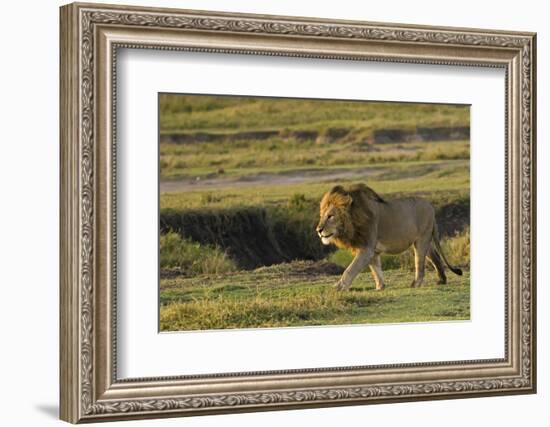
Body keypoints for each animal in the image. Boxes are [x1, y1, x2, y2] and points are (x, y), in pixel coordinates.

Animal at [316, 184, 464, 290]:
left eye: (330, 216)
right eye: (322, 216)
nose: (318, 230)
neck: (352, 221)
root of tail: (431, 207)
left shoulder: (366, 248)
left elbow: (350, 269)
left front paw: (337, 288)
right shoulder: (372, 251)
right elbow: (376, 270)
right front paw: (380, 287)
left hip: (422, 240)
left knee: (419, 264)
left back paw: (416, 284)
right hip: (423, 240)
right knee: (435, 257)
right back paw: (441, 280)